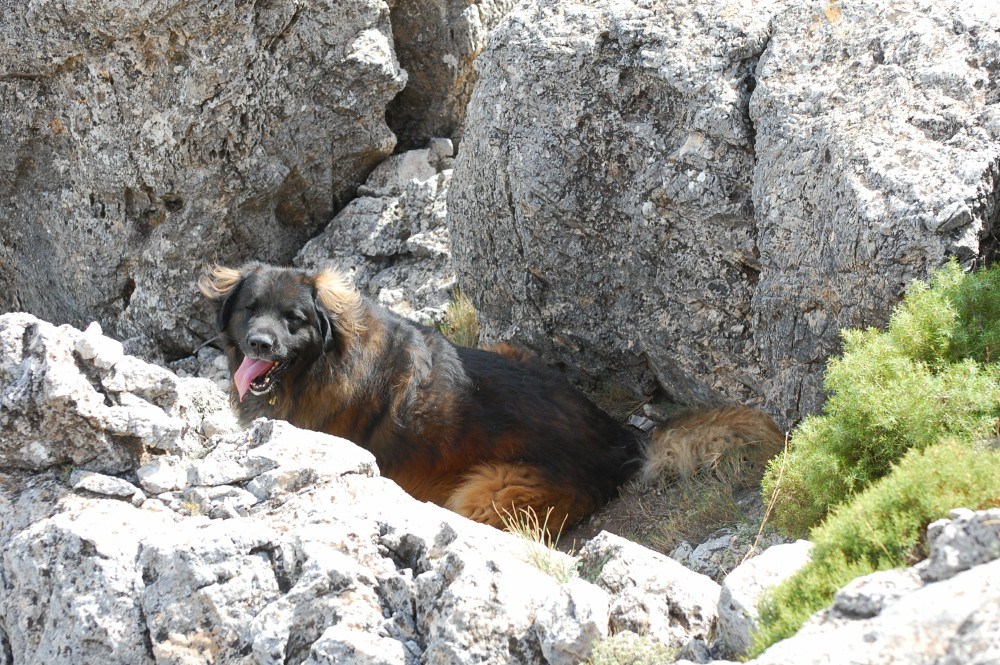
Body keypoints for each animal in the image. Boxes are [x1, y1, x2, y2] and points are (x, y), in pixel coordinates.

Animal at [199, 262, 784, 528]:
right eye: (251, 309)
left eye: (294, 320)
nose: (259, 343)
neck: (323, 363)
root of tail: (622, 441)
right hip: (506, 346)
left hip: (486, 492)